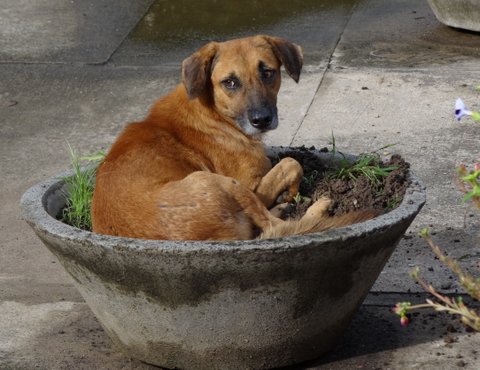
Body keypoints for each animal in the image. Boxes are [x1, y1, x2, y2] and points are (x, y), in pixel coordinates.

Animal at [91, 36, 376, 241]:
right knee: (274, 225)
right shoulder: (250, 184)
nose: (262, 119)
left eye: (267, 72)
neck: (214, 111)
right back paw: (316, 208)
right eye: (229, 82)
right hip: (217, 182)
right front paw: (291, 192)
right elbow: (291, 163)